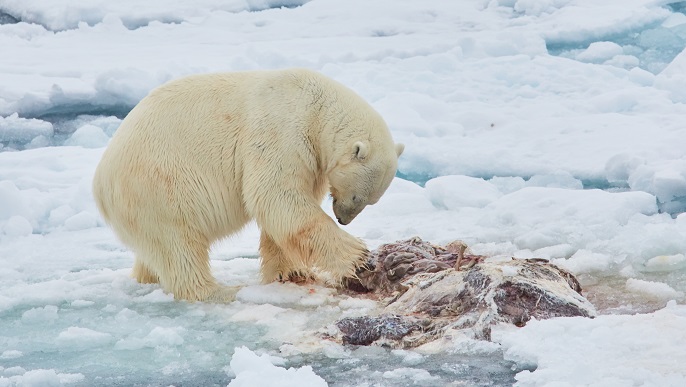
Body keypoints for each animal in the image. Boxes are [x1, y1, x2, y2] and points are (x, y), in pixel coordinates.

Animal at [91, 69, 404, 304]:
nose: (343, 219)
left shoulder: (312, 158)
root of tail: (101, 185)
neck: (316, 107)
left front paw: (291, 273)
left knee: (155, 250)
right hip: (160, 185)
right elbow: (277, 196)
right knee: (179, 245)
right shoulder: (282, 131)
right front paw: (358, 258)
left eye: (370, 201)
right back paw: (219, 291)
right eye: (358, 196)